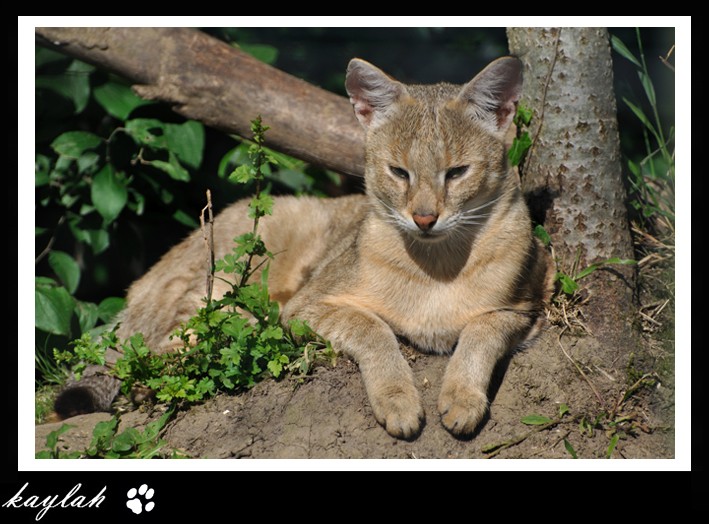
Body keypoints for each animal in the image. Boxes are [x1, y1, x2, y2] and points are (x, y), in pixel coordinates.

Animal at [55, 56, 552, 438]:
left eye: (457, 172)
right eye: (399, 172)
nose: (424, 218)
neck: (438, 265)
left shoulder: (526, 311)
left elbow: (480, 332)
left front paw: (462, 395)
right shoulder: (307, 307)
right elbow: (374, 330)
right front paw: (398, 399)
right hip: (218, 290)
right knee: (157, 360)